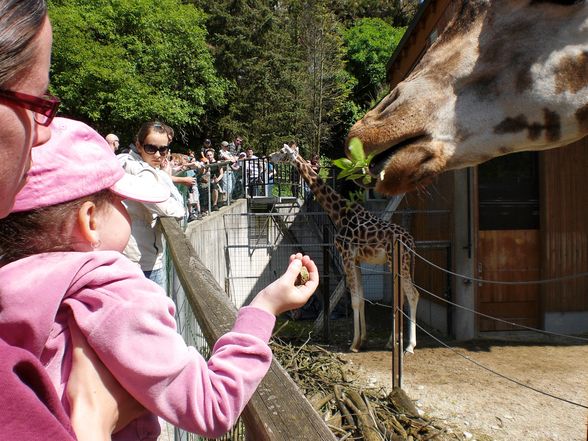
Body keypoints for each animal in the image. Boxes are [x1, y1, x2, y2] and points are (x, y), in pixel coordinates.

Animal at [268, 146, 420, 352]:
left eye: (282, 152)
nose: (270, 156)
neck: (339, 213)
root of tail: (411, 242)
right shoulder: (356, 259)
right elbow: (361, 299)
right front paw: (362, 339)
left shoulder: (346, 255)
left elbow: (355, 300)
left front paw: (354, 344)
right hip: (397, 263)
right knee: (402, 298)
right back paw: (392, 341)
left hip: (398, 262)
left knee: (412, 295)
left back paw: (409, 346)